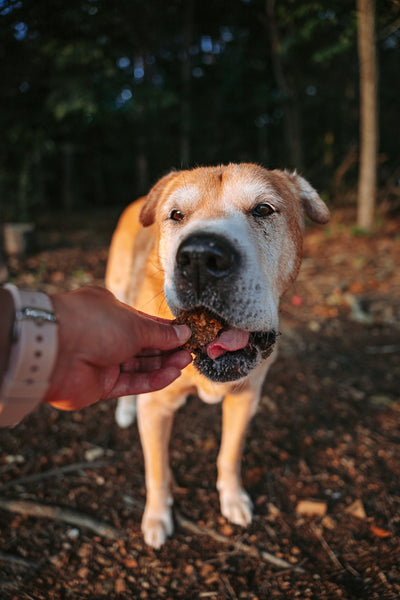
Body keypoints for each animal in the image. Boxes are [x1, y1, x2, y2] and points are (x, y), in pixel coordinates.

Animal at [104, 164, 330, 548]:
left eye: (263, 209)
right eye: (176, 215)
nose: (199, 258)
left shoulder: (246, 397)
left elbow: (230, 454)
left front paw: (233, 499)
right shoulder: (156, 408)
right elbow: (157, 469)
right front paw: (157, 518)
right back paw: (124, 411)